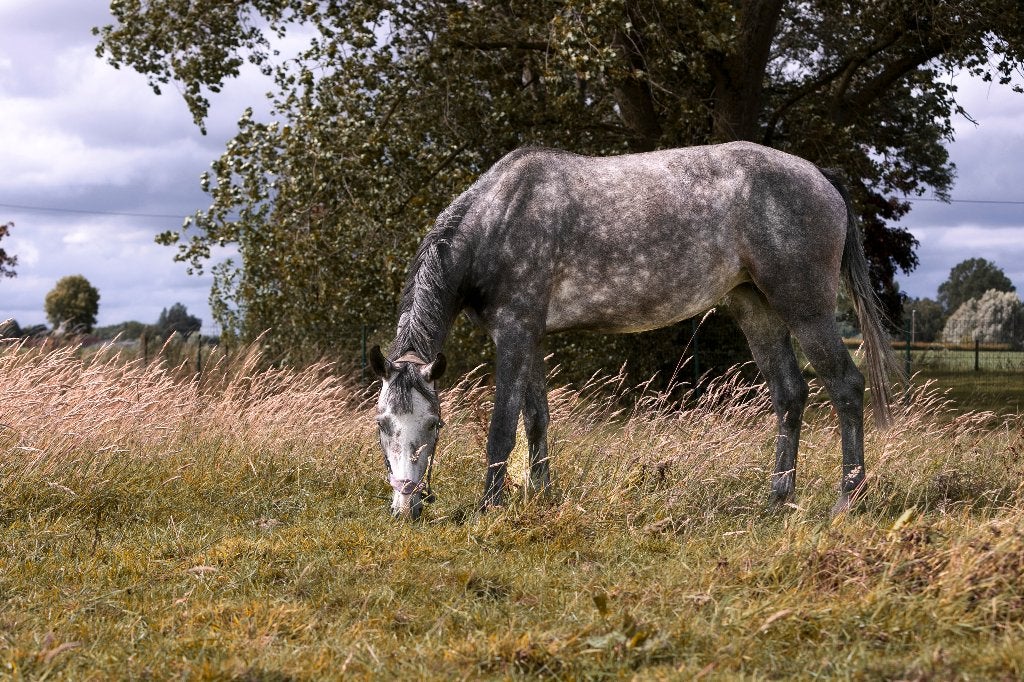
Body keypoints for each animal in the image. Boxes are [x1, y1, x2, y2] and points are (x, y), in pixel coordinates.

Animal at [369, 141, 898, 520]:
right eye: (382, 425)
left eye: (434, 425)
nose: (406, 508)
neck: (498, 218)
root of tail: (819, 176)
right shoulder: (531, 336)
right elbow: (536, 419)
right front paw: (541, 496)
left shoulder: (514, 333)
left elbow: (502, 428)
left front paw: (489, 508)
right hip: (756, 308)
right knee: (789, 394)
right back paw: (777, 500)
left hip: (806, 310)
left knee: (846, 387)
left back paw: (847, 499)